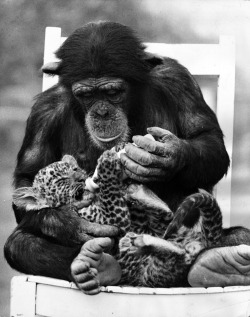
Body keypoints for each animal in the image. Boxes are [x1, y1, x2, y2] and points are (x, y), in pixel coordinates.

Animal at [5, 21, 248, 290]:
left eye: (113, 92)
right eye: (86, 95)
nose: (102, 112)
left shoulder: (178, 80)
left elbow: (208, 139)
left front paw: (168, 156)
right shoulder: (43, 113)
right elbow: (28, 178)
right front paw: (69, 223)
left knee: (238, 236)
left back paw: (219, 264)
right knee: (18, 244)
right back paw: (96, 265)